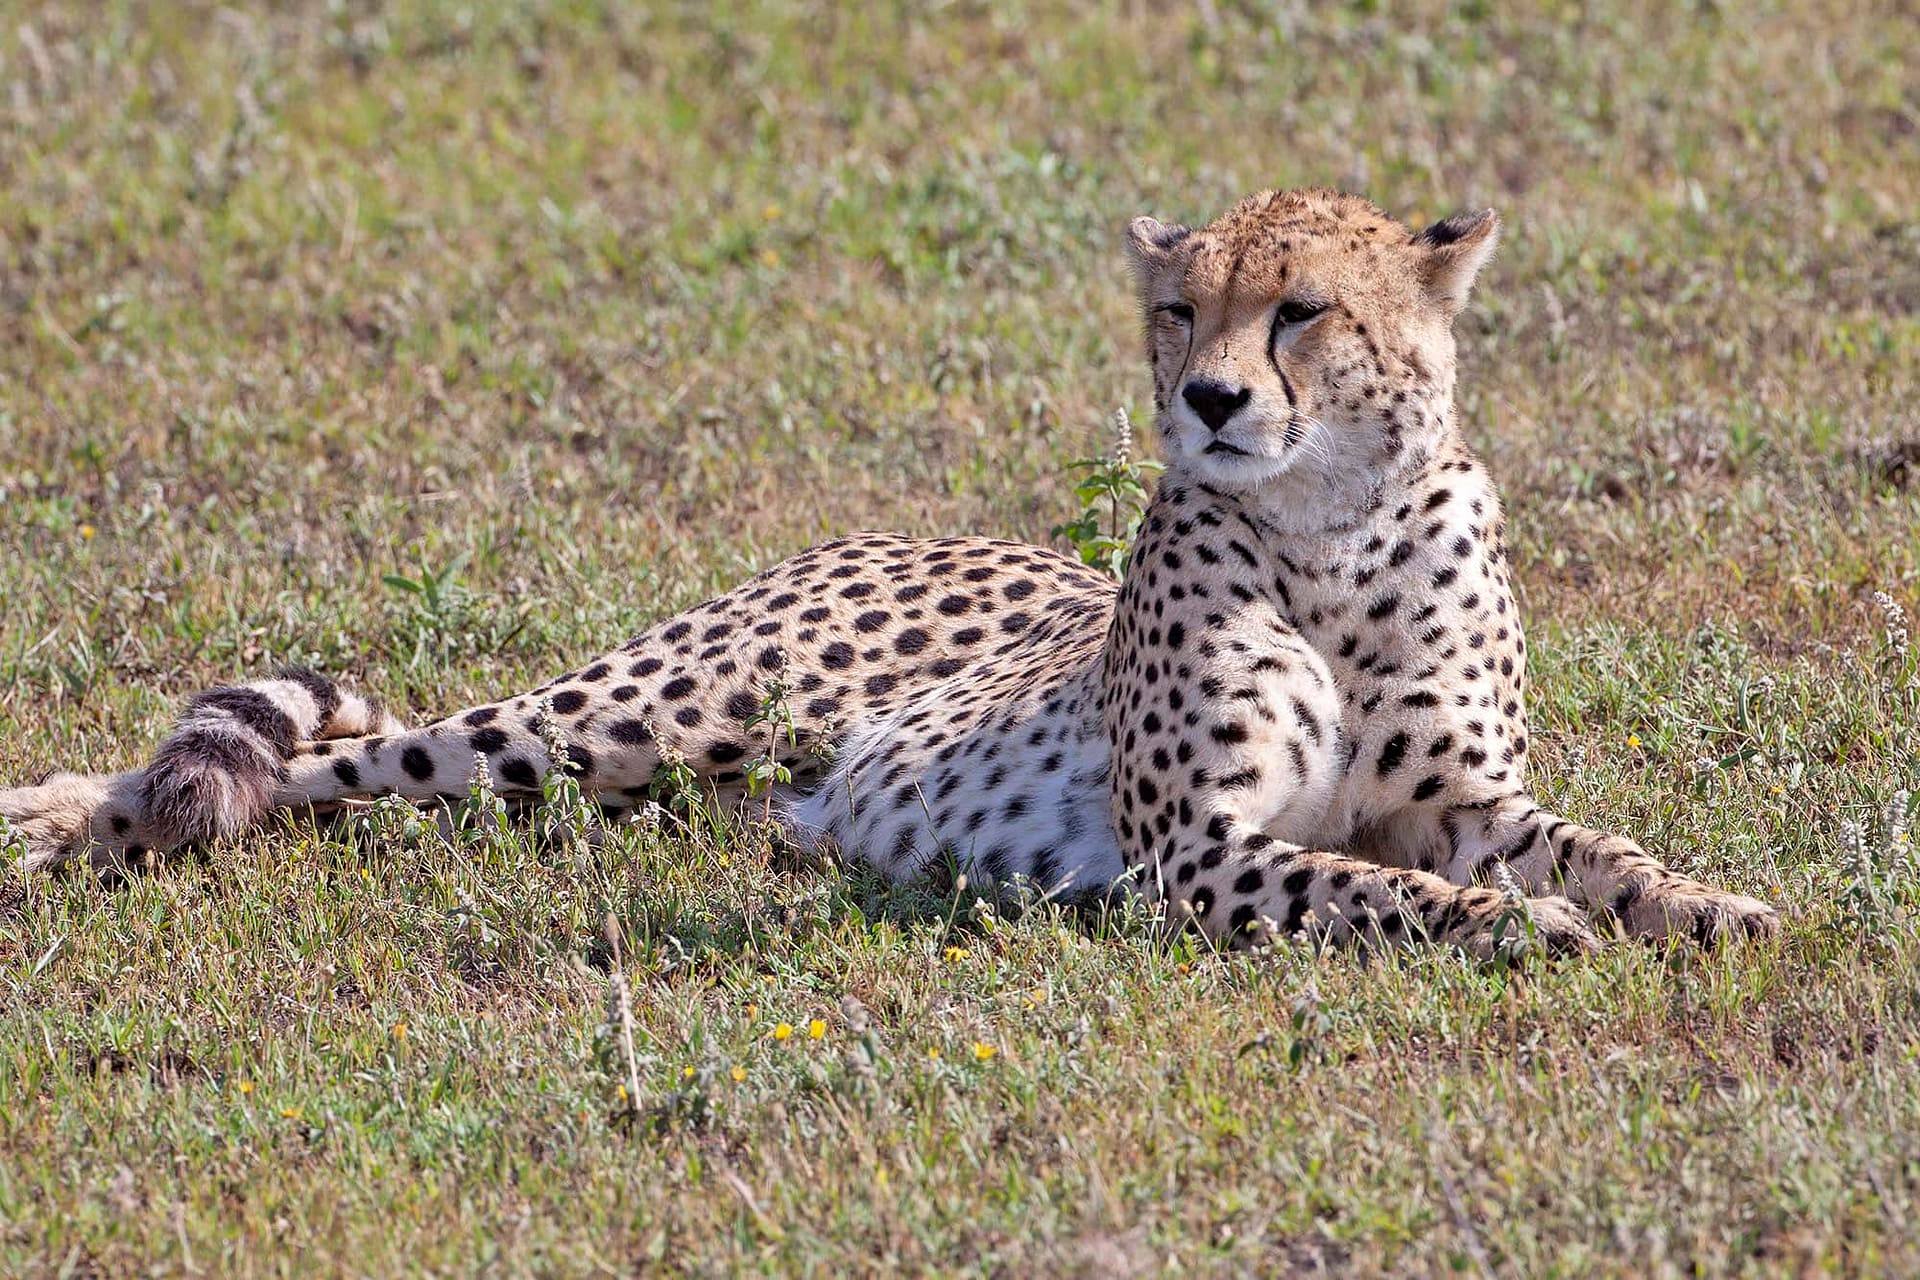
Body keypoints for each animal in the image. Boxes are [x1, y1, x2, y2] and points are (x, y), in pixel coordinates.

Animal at [0, 188, 1774, 951]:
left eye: (1300, 312)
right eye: (1178, 310)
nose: (1207, 400)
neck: (1327, 528)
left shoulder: (1467, 799)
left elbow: (1599, 852)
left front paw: (1707, 905)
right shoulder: (1199, 851)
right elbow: (1374, 891)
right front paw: (1521, 934)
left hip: (661, 781)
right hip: (629, 719)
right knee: (315, 764)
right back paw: (49, 827)